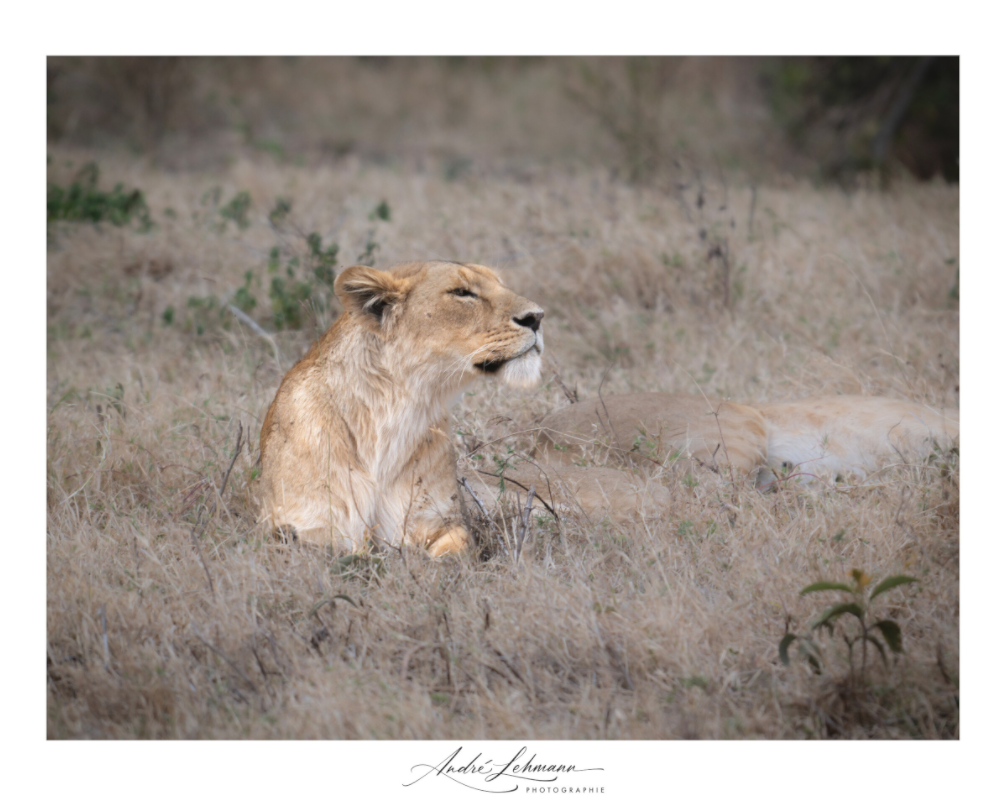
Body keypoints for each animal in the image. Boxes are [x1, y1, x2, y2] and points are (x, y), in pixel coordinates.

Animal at [258, 260, 545, 555]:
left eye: (500, 284)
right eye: (462, 293)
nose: (537, 317)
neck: (396, 411)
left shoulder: (441, 521)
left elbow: (454, 551)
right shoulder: (302, 527)